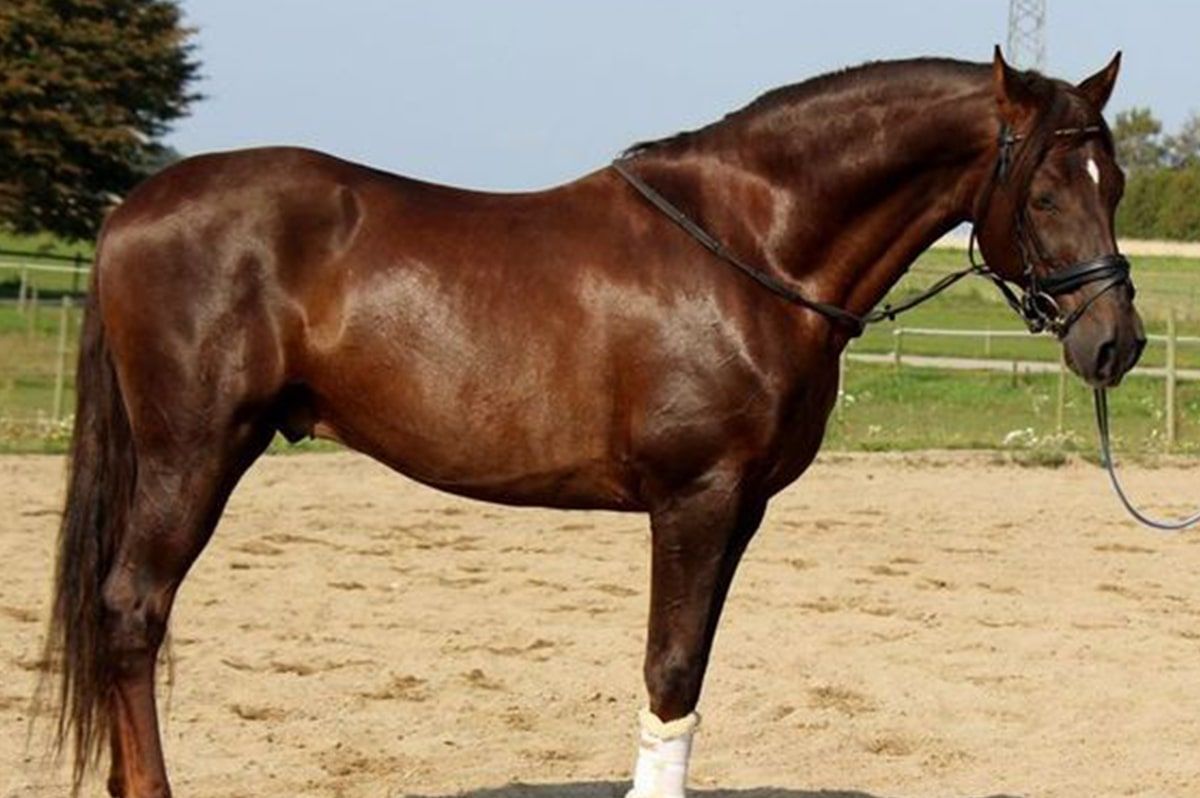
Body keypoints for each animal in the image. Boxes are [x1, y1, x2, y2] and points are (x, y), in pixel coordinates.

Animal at [41, 48, 1145, 798]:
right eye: (1046, 191)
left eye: (1118, 183)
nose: (1116, 343)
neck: (750, 249)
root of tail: (130, 210)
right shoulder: (694, 499)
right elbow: (668, 667)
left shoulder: (738, 509)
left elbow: (688, 674)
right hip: (194, 453)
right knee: (133, 609)